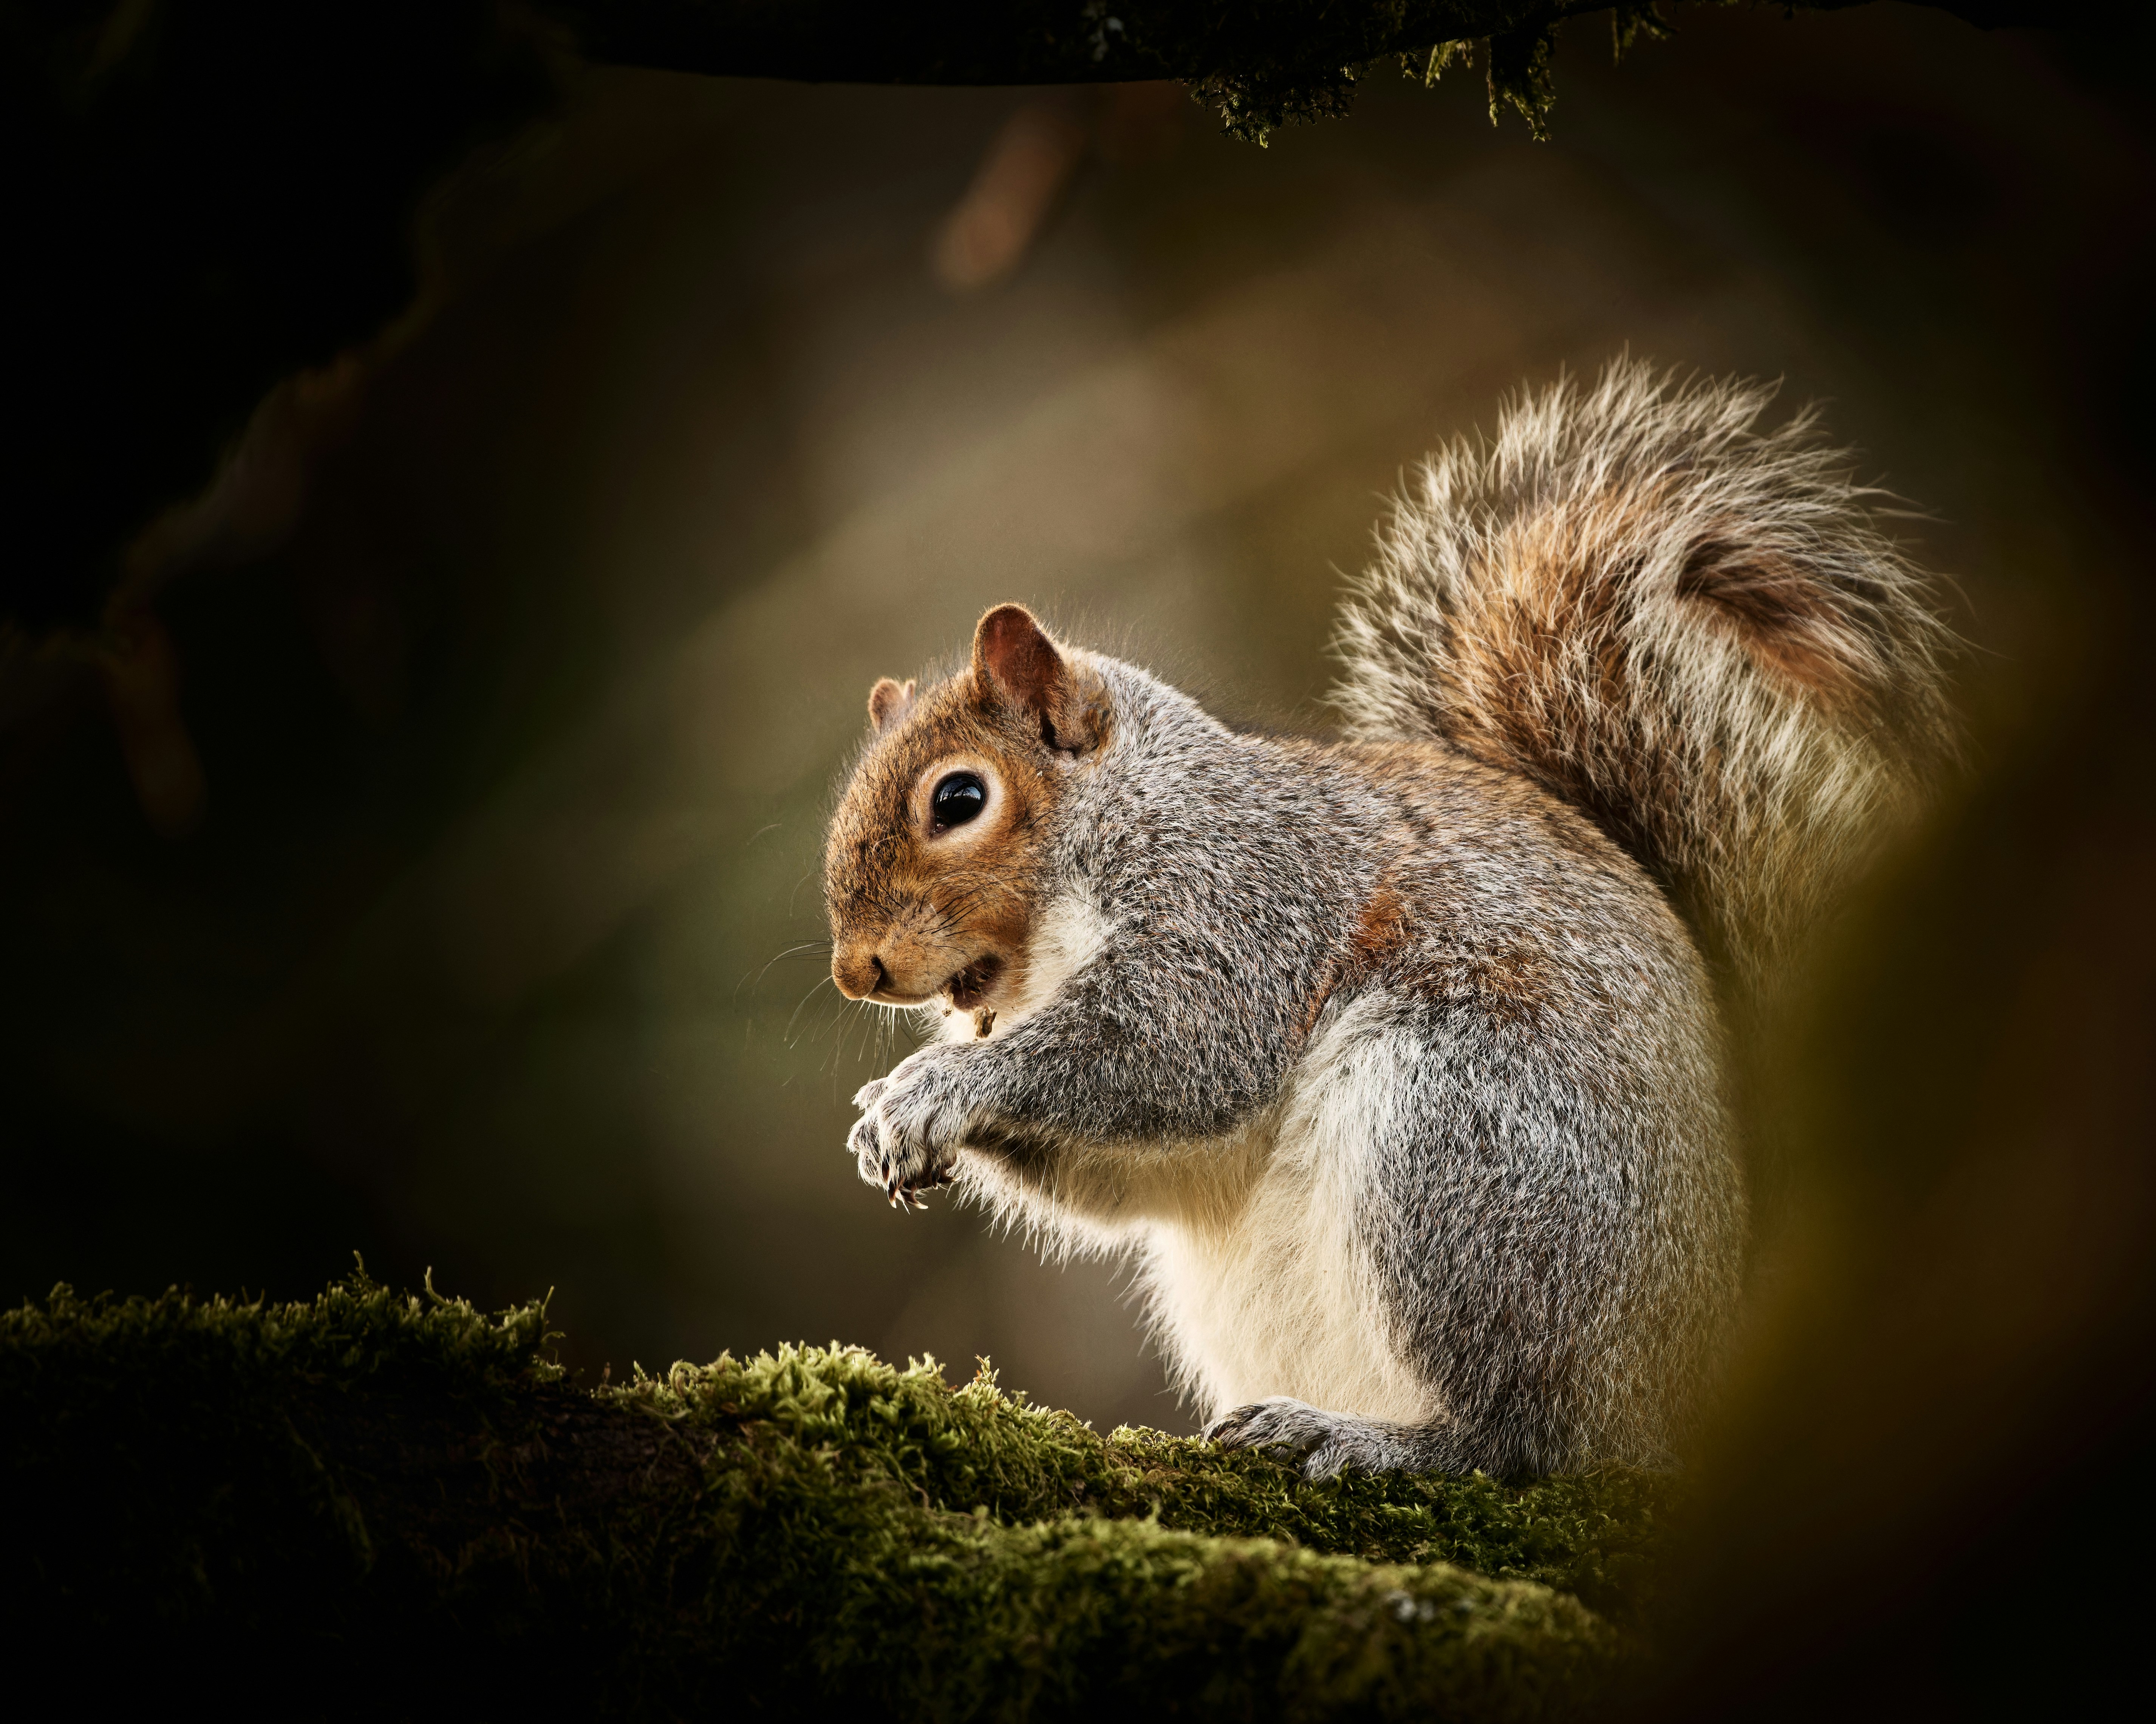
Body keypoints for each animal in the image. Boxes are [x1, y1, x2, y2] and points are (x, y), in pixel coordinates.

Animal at [822, 359, 1957, 1478]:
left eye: (959, 798)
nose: (855, 971)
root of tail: (1703, 1369)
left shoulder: (1242, 898)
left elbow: (1175, 1050)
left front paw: (939, 1084)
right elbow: (1124, 1168)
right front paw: (888, 1113)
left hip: (1464, 1145)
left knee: (1527, 1438)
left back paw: (1375, 1440)